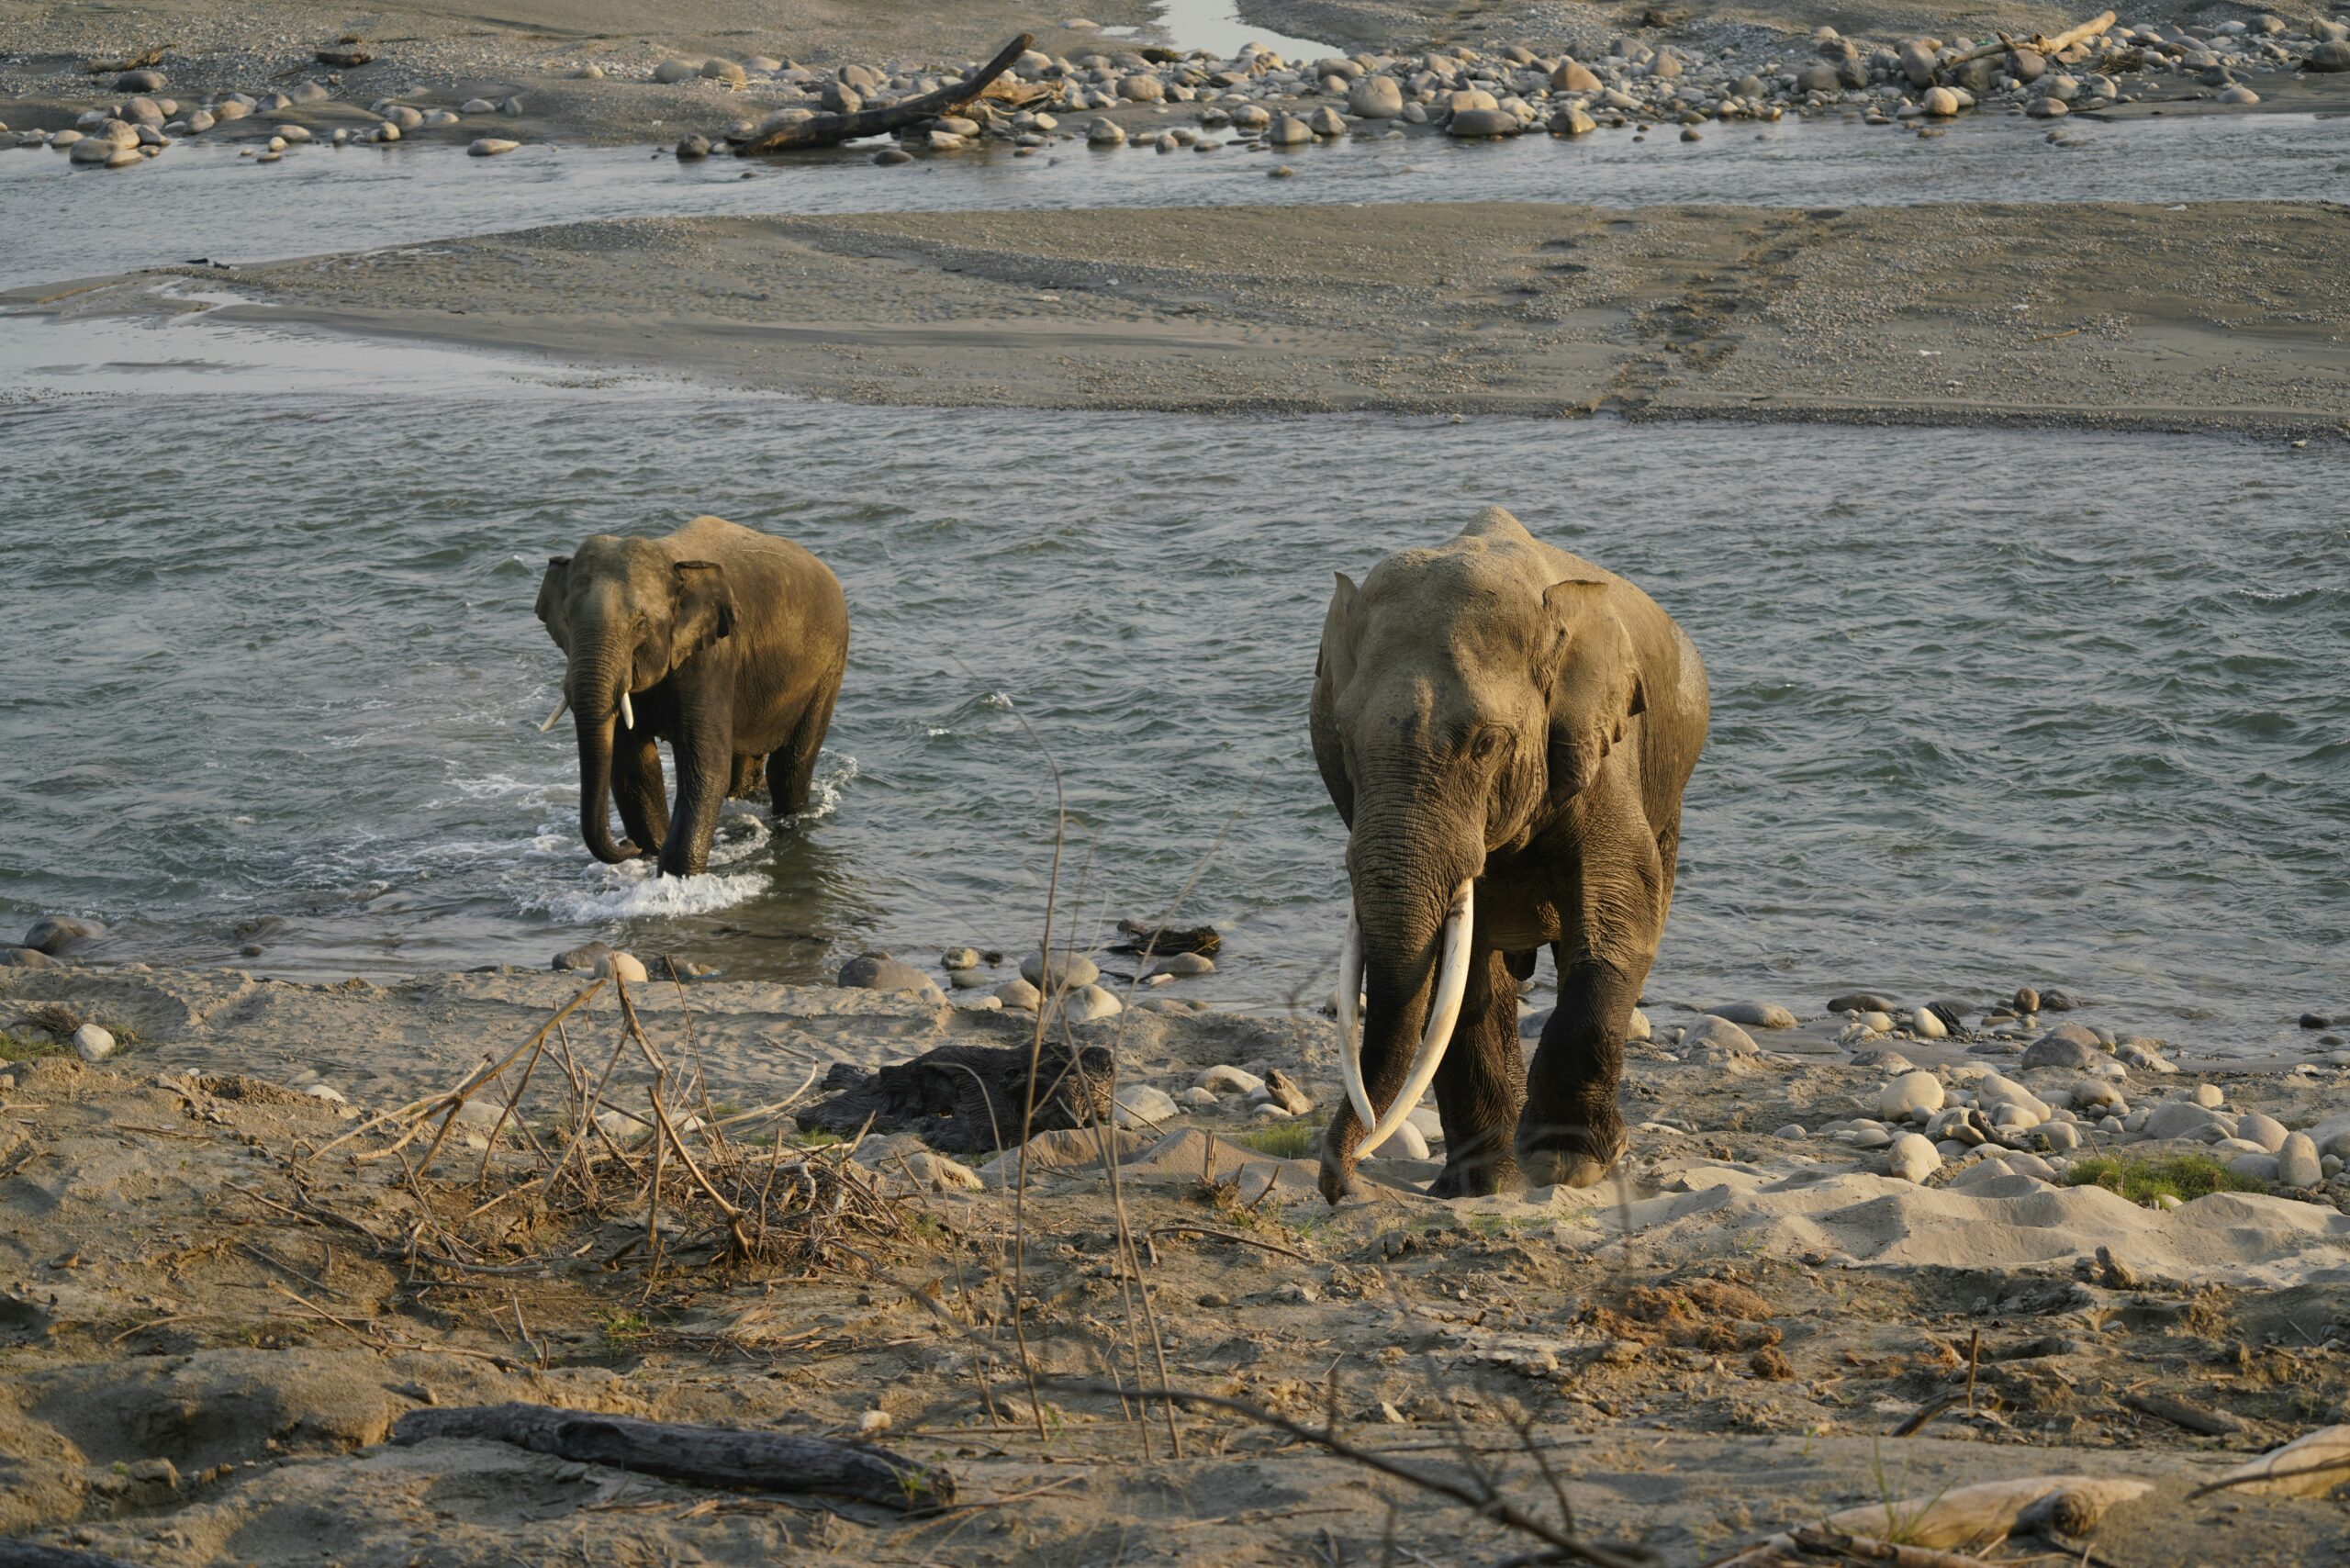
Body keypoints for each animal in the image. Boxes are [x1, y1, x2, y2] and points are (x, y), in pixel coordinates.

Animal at [535, 515, 849, 878]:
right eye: (567, 619)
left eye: (641, 624)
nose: (627, 844)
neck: (669, 559)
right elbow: (633, 767)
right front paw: (651, 854)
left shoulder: (711, 659)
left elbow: (705, 766)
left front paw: (675, 877)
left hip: (830, 666)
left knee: (791, 765)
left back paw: (789, 825)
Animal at [1309, 506, 1708, 1202]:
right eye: (1344, 739)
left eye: (1487, 743)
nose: (1337, 1185)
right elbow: (1460, 969)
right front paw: (1483, 1188)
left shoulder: (1604, 753)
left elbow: (1618, 917)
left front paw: (1565, 1165)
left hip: (1670, 792)